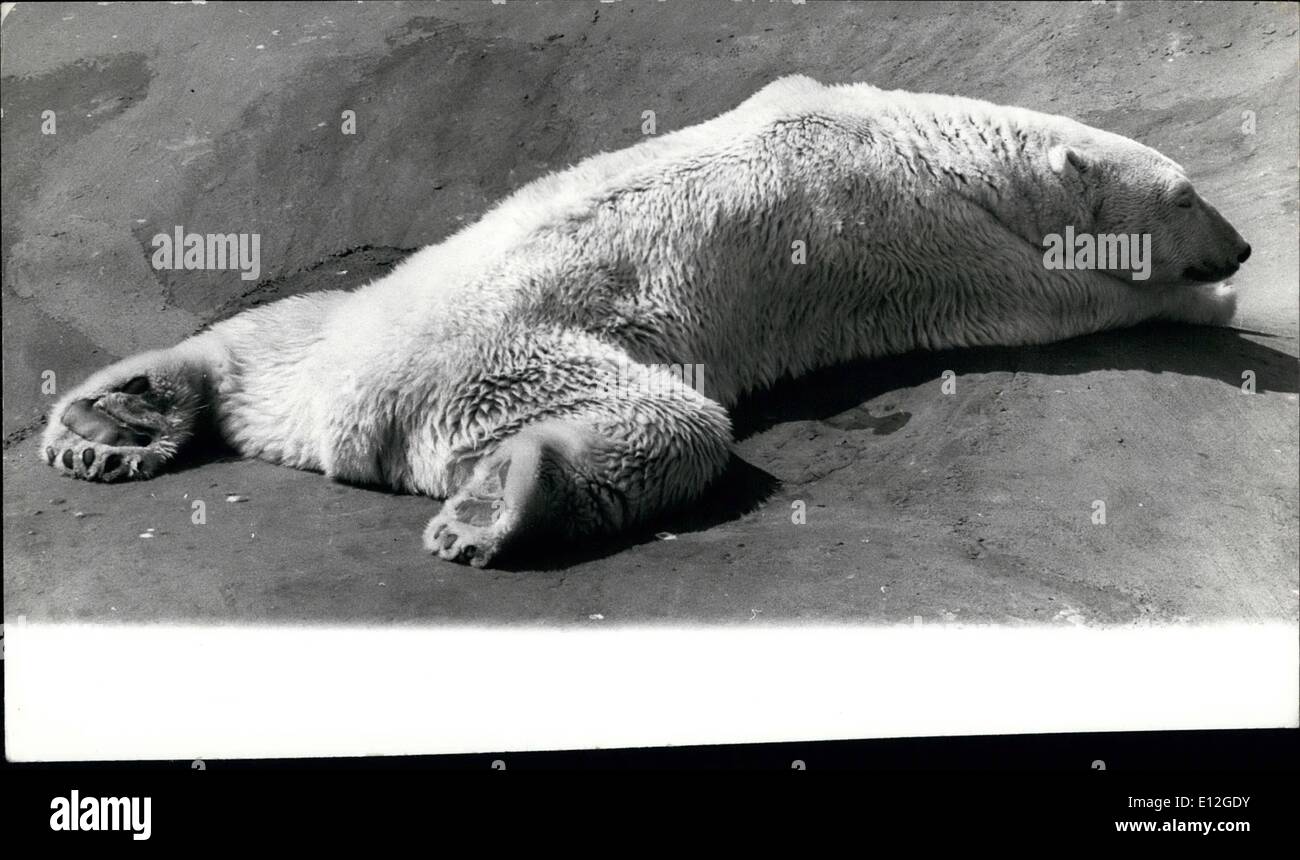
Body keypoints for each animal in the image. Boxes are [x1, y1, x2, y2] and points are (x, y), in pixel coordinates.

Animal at [39, 75, 1251, 568]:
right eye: (1189, 194)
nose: (1240, 245)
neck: (914, 134)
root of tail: (346, 414)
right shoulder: (900, 231)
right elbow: (1038, 302)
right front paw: (1208, 300)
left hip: (340, 332)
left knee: (260, 336)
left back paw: (112, 421)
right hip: (514, 356)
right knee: (666, 424)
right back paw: (504, 508)